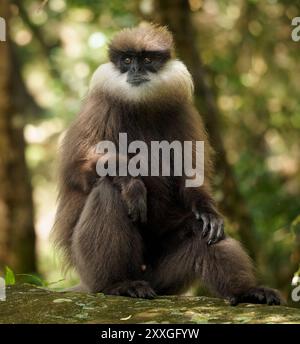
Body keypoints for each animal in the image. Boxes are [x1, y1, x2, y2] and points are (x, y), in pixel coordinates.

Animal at [52, 22, 284, 306]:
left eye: (147, 60)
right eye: (127, 60)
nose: (135, 70)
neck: (141, 106)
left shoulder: (182, 112)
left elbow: (191, 181)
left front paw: (208, 211)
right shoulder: (100, 109)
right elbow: (77, 169)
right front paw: (132, 183)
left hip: (163, 278)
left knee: (199, 231)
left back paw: (247, 291)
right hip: (90, 268)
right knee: (107, 190)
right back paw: (119, 284)